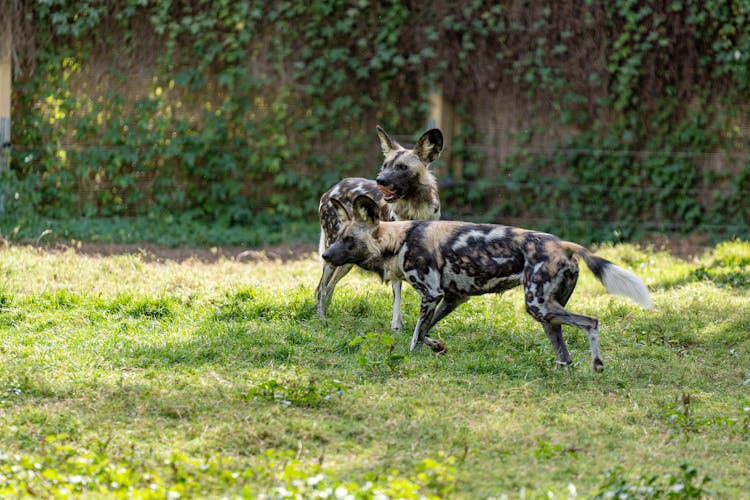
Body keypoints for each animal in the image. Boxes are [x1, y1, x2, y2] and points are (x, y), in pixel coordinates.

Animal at [314, 124, 444, 332]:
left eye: (402, 167)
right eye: (385, 166)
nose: (379, 180)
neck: (414, 209)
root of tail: (333, 189)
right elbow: (397, 295)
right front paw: (396, 327)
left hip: (346, 258)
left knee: (329, 288)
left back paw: (328, 316)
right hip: (332, 253)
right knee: (320, 288)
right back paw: (321, 320)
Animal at [324, 195, 652, 372]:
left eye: (348, 240)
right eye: (338, 237)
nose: (326, 254)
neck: (399, 239)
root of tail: (564, 244)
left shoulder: (431, 294)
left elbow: (415, 336)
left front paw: (413, 357)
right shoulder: (452, 298)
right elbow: (426, 331)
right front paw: (438, 348)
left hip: (538, 306)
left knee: (591, 322)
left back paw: (596, 364)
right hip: (546, 312)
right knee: (565, 353)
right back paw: (562, 371)